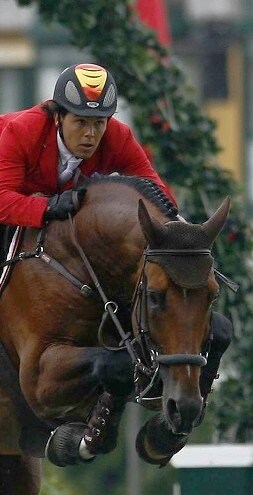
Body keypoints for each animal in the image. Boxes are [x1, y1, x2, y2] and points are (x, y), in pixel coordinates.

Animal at [0, 173, 230, 492]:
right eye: (154, 296)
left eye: (213, 295)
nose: (184, 408)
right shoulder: (38, 379)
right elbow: (114, 362)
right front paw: (79, 439)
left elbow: (221, 332)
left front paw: (161, 435)